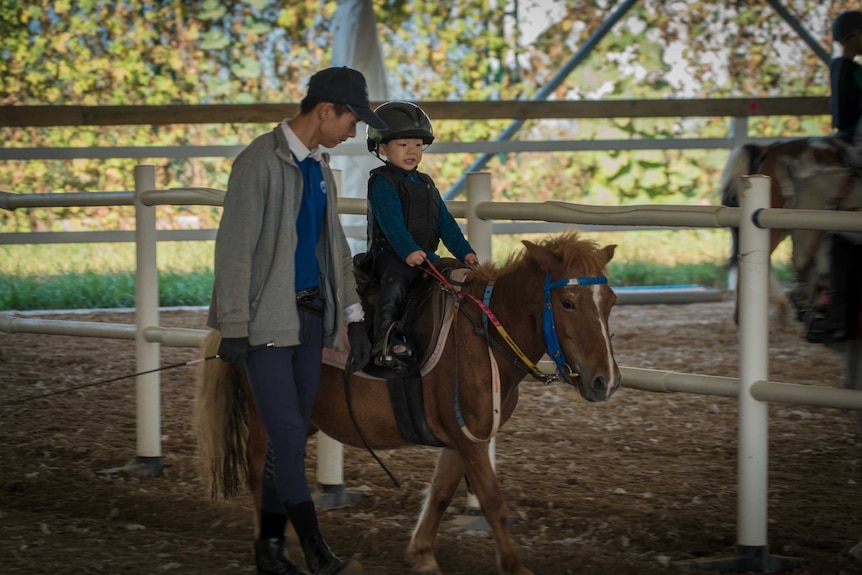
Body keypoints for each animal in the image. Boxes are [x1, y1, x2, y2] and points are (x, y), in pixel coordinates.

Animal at [194, 234, 620, 575]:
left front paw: (422, 555)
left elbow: (442, 493)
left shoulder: (460, 439)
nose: (606, 381)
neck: (484, 335)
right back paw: (274, 545)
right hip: (265, 414)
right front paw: (514, 567)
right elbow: (492, 501)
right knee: (258, 471)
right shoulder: (471, 440)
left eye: (611, 302)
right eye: (567, 302)